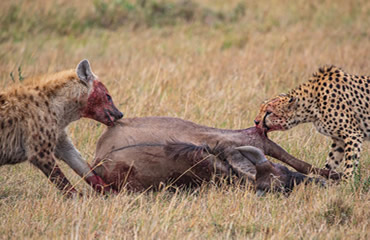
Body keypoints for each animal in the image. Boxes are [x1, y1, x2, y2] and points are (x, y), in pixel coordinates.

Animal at [0, 59, 123, 196]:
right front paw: (78, 198)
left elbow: (83, 166)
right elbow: (61, 180)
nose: (120, 114)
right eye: (108, 96)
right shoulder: (39, 151)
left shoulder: (60, 138)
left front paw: (113, 194)